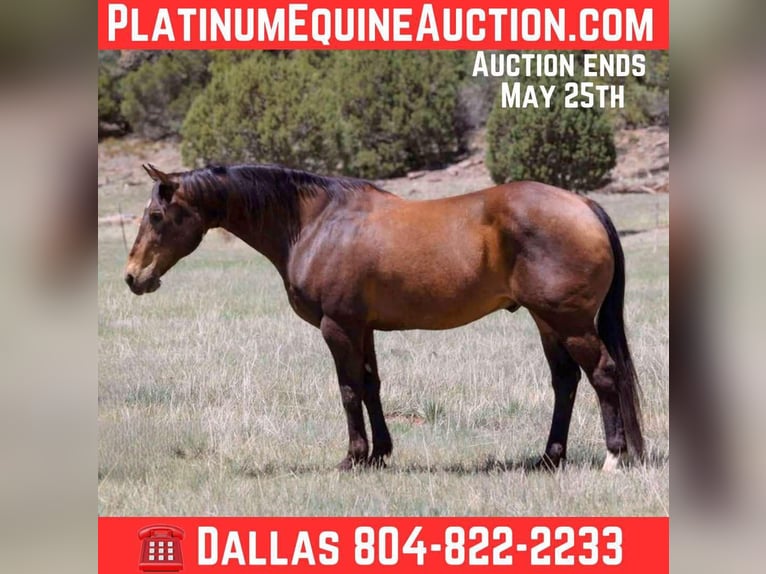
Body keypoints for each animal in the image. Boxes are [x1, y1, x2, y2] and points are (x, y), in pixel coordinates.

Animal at [125, 163, 643, 472]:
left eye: (156, 216)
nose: (133, 277)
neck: (316, 224)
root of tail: (584, 205)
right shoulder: (363, 328)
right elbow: (372, 386)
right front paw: (379, 454)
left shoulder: (337, 327)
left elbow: (349, 390)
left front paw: (352, 458)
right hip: (546, 321)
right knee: (565, 381)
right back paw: (550, 458)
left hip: (570, 322)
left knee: (603, 374)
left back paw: (614, 456)